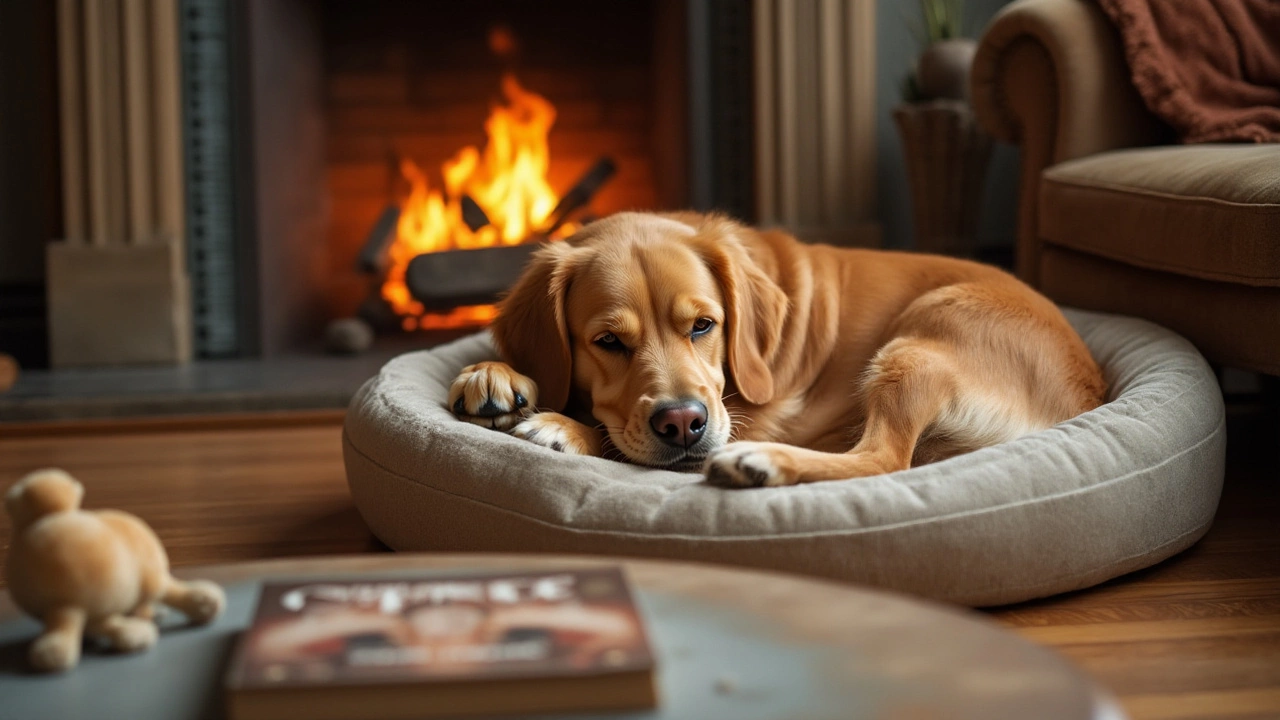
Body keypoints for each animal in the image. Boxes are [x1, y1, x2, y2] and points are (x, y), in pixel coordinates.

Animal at [445, 208, 1105, 486]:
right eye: (607, 341)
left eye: (703, 326)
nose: (683, 424)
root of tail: (1085, 393)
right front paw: (493, 373)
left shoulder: (745, 417)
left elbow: (614, 439)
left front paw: (566, 426)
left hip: (916, 347)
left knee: (884, 459)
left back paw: (759, 464)